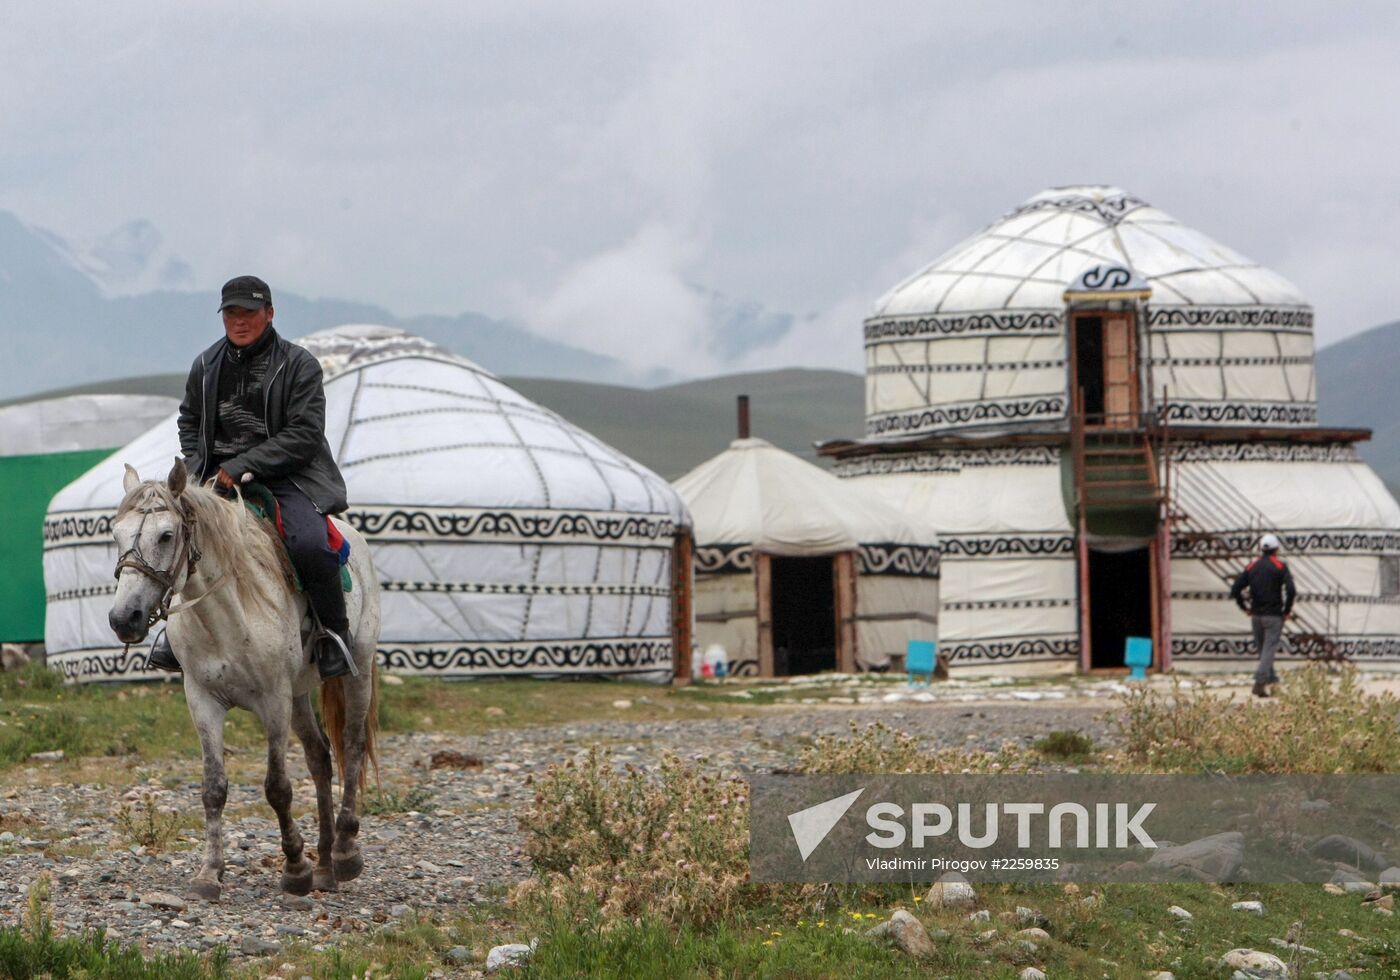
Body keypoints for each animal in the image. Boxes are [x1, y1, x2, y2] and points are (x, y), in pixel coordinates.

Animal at [109, 459, 383, 901]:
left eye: (166, 535)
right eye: (115, 534)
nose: (123, 619)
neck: (226, 615)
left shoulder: (273, 701)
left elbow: (277, 787)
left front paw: (295, 868)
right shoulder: (202, 700)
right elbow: (213, 788)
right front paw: (209, 873)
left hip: (355, 667)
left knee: (353, 746)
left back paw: (343, 853)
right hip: (299, 694)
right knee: (320, 758)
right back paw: (325, 865)